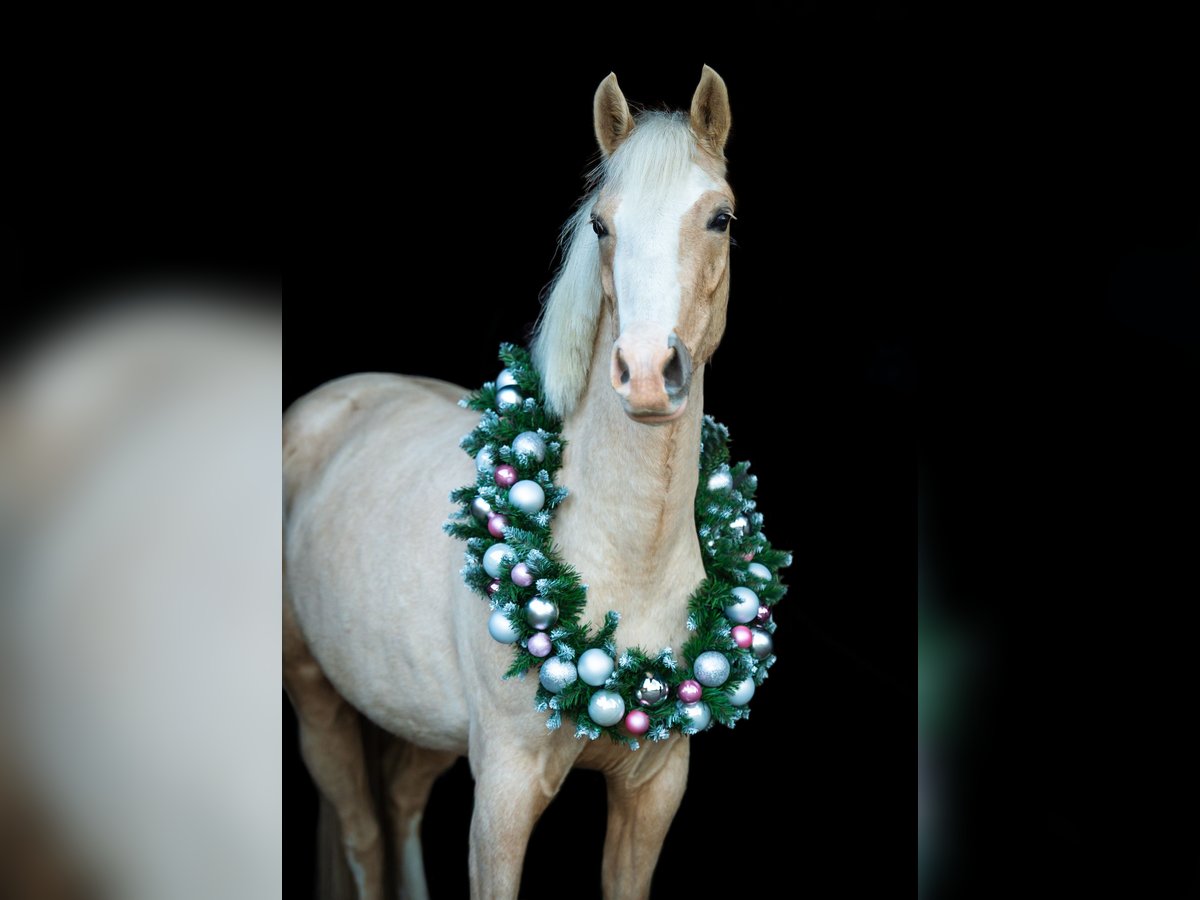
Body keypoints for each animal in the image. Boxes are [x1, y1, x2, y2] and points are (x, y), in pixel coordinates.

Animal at [284, 65, 736, 899]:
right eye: (600, 225)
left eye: (719, 218)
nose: (648, 373)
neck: (624, 561)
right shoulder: (504, 789)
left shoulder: (652, 789)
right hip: (318, 704)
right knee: (364, 835)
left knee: (400, 808)